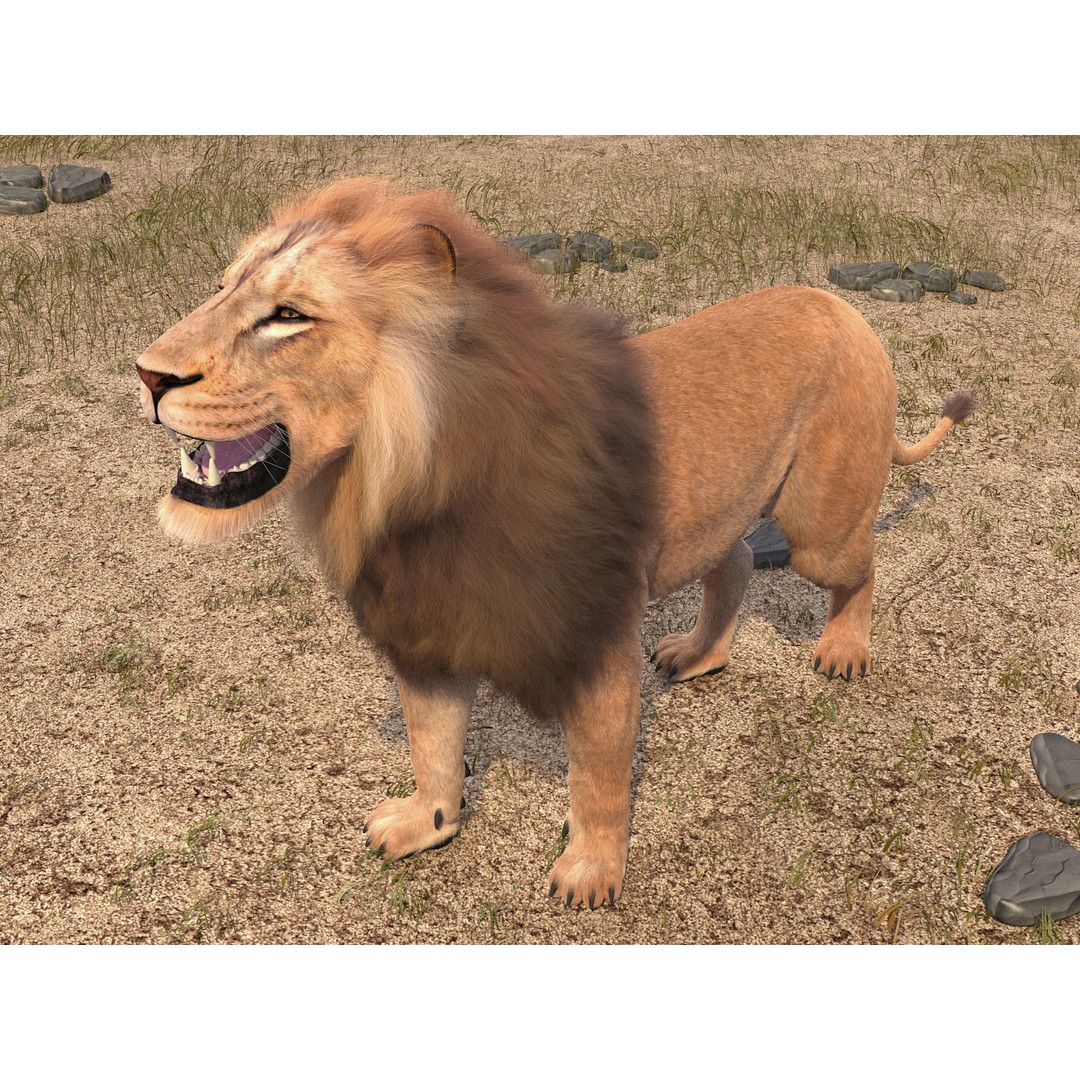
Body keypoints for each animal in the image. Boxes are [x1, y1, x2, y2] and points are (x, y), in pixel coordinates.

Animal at [136, 177, 975, 909]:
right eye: (223, 289)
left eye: (286, 315)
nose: (146, 376)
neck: (409, 492)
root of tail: (837, 300)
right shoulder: (426, 633)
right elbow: (432, 746)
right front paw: (424, 825)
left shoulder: (594, 641)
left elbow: (597, 776)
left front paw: (591, 873)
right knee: (735, 558)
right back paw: (698, 654)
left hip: (817, 526)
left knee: (858, 569)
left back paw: (844, 649)